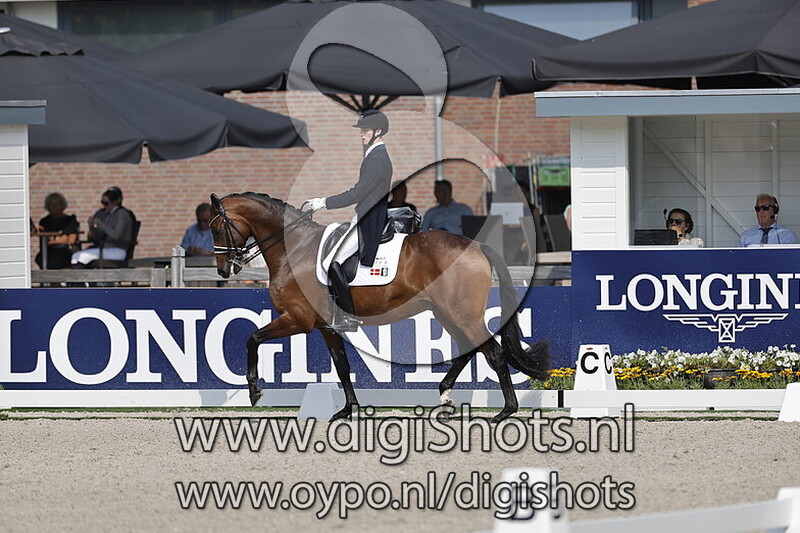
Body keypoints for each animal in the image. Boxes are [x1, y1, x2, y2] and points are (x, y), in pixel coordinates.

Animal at [209, 192, 549, 423]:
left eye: (216, 228)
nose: (224, 271)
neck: (296, 249)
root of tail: (477, 245)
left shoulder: (298, 319)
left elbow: (252, 338)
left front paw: (254, 391)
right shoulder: (325, 326)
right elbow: (342, 366)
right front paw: (347, 410)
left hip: (461, 314)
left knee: (494, 353)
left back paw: (505, 412)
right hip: (446, 312)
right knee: (470, 349)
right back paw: (445, 397)